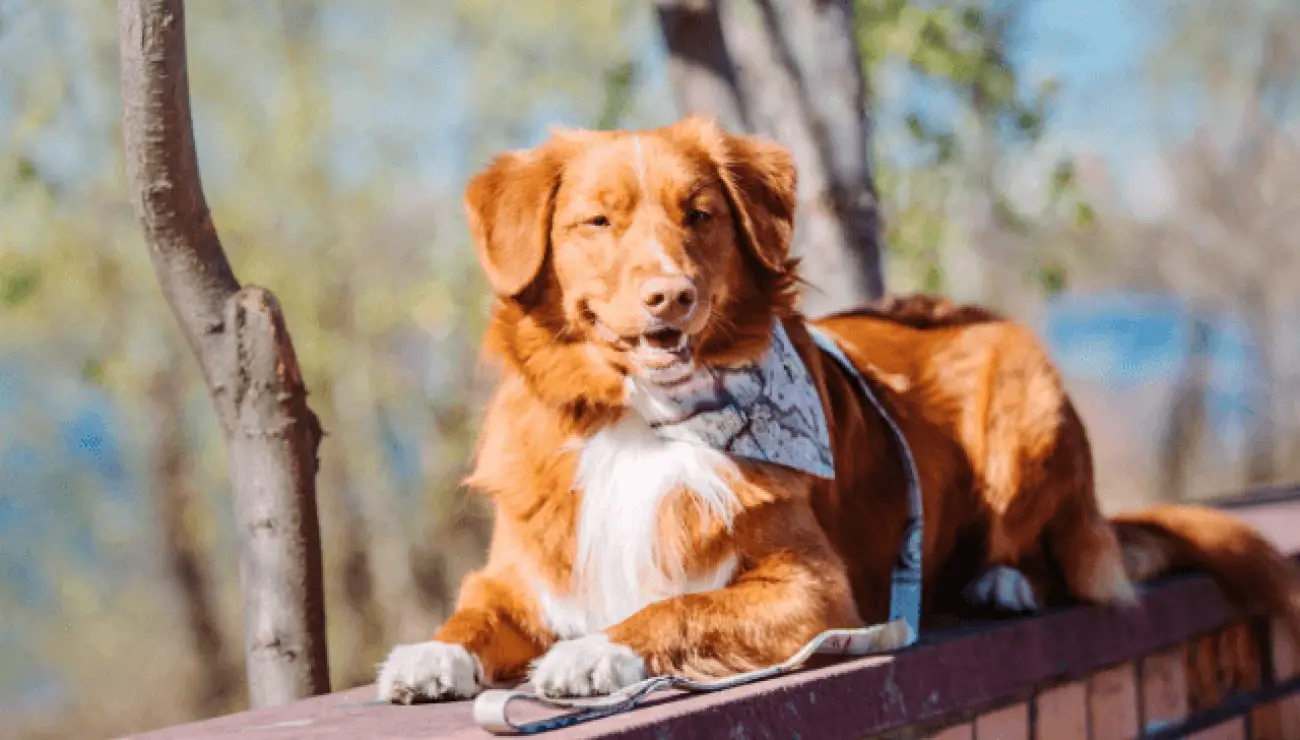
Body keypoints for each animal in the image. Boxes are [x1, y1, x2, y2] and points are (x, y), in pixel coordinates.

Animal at [377, 117, 1300, 702]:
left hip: (1022, 393)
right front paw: (432, 654)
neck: (641, 424)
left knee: (1041, 549)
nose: (671, 296)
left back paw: (999, 580)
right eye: (596, 222)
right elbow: (474, 611)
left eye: (699, 215)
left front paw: (594, 652)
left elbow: (678, 606)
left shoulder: (816, 593)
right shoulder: (517, 571)